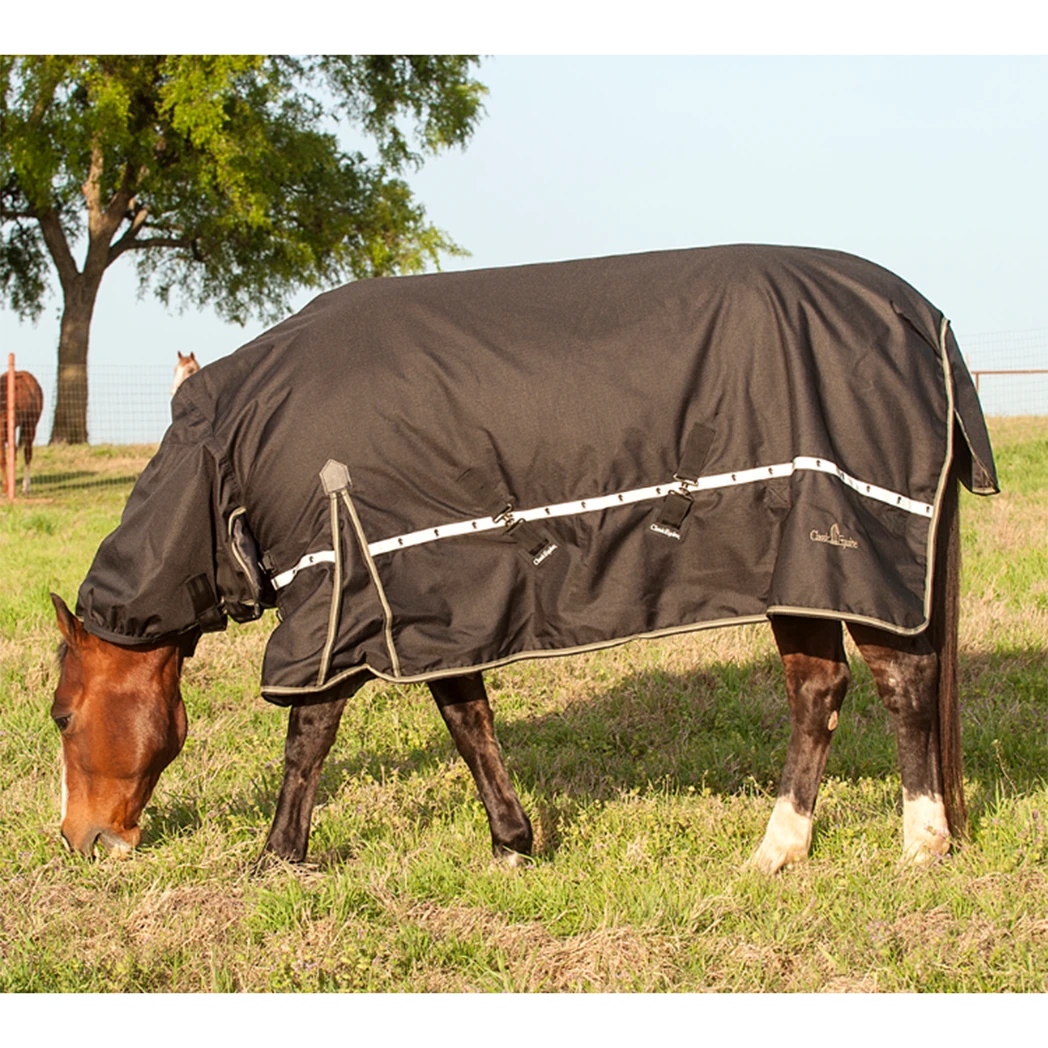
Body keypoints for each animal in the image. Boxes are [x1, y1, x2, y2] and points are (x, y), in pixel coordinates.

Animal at [49, 245, 998, 871]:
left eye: (60, 717)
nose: (82, 840)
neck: (236, 451)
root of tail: (926, 320)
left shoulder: (338, 603)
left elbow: (308, 735)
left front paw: (277, 856)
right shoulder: (425, 602)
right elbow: (468, 722)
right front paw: (512, 843)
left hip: (848, 555)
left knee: (901, 684)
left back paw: (921, 842)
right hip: (799, 574)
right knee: (819, 692)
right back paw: (779, 849)